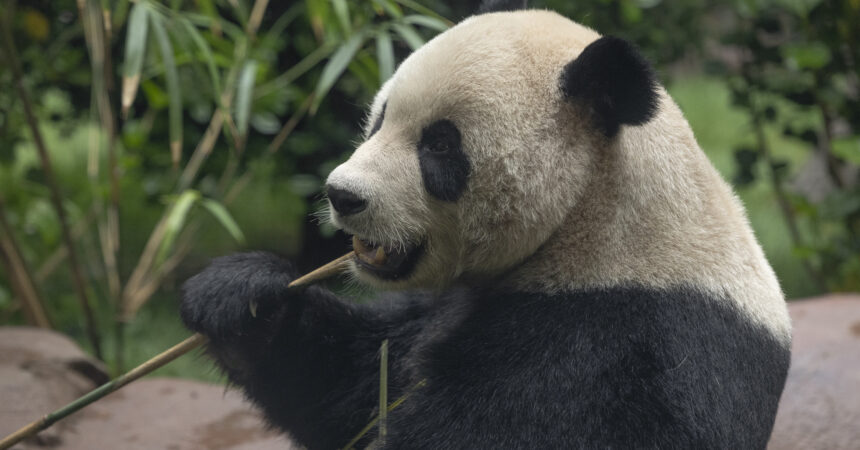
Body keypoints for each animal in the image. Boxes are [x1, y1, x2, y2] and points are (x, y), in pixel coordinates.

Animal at [181, 1, 792, 448]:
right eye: (379, 119)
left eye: (440, 144)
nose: (343, 195)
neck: (593, 222)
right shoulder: (445, 306)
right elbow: (354, 384)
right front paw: (241, 297)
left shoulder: (614, 345)